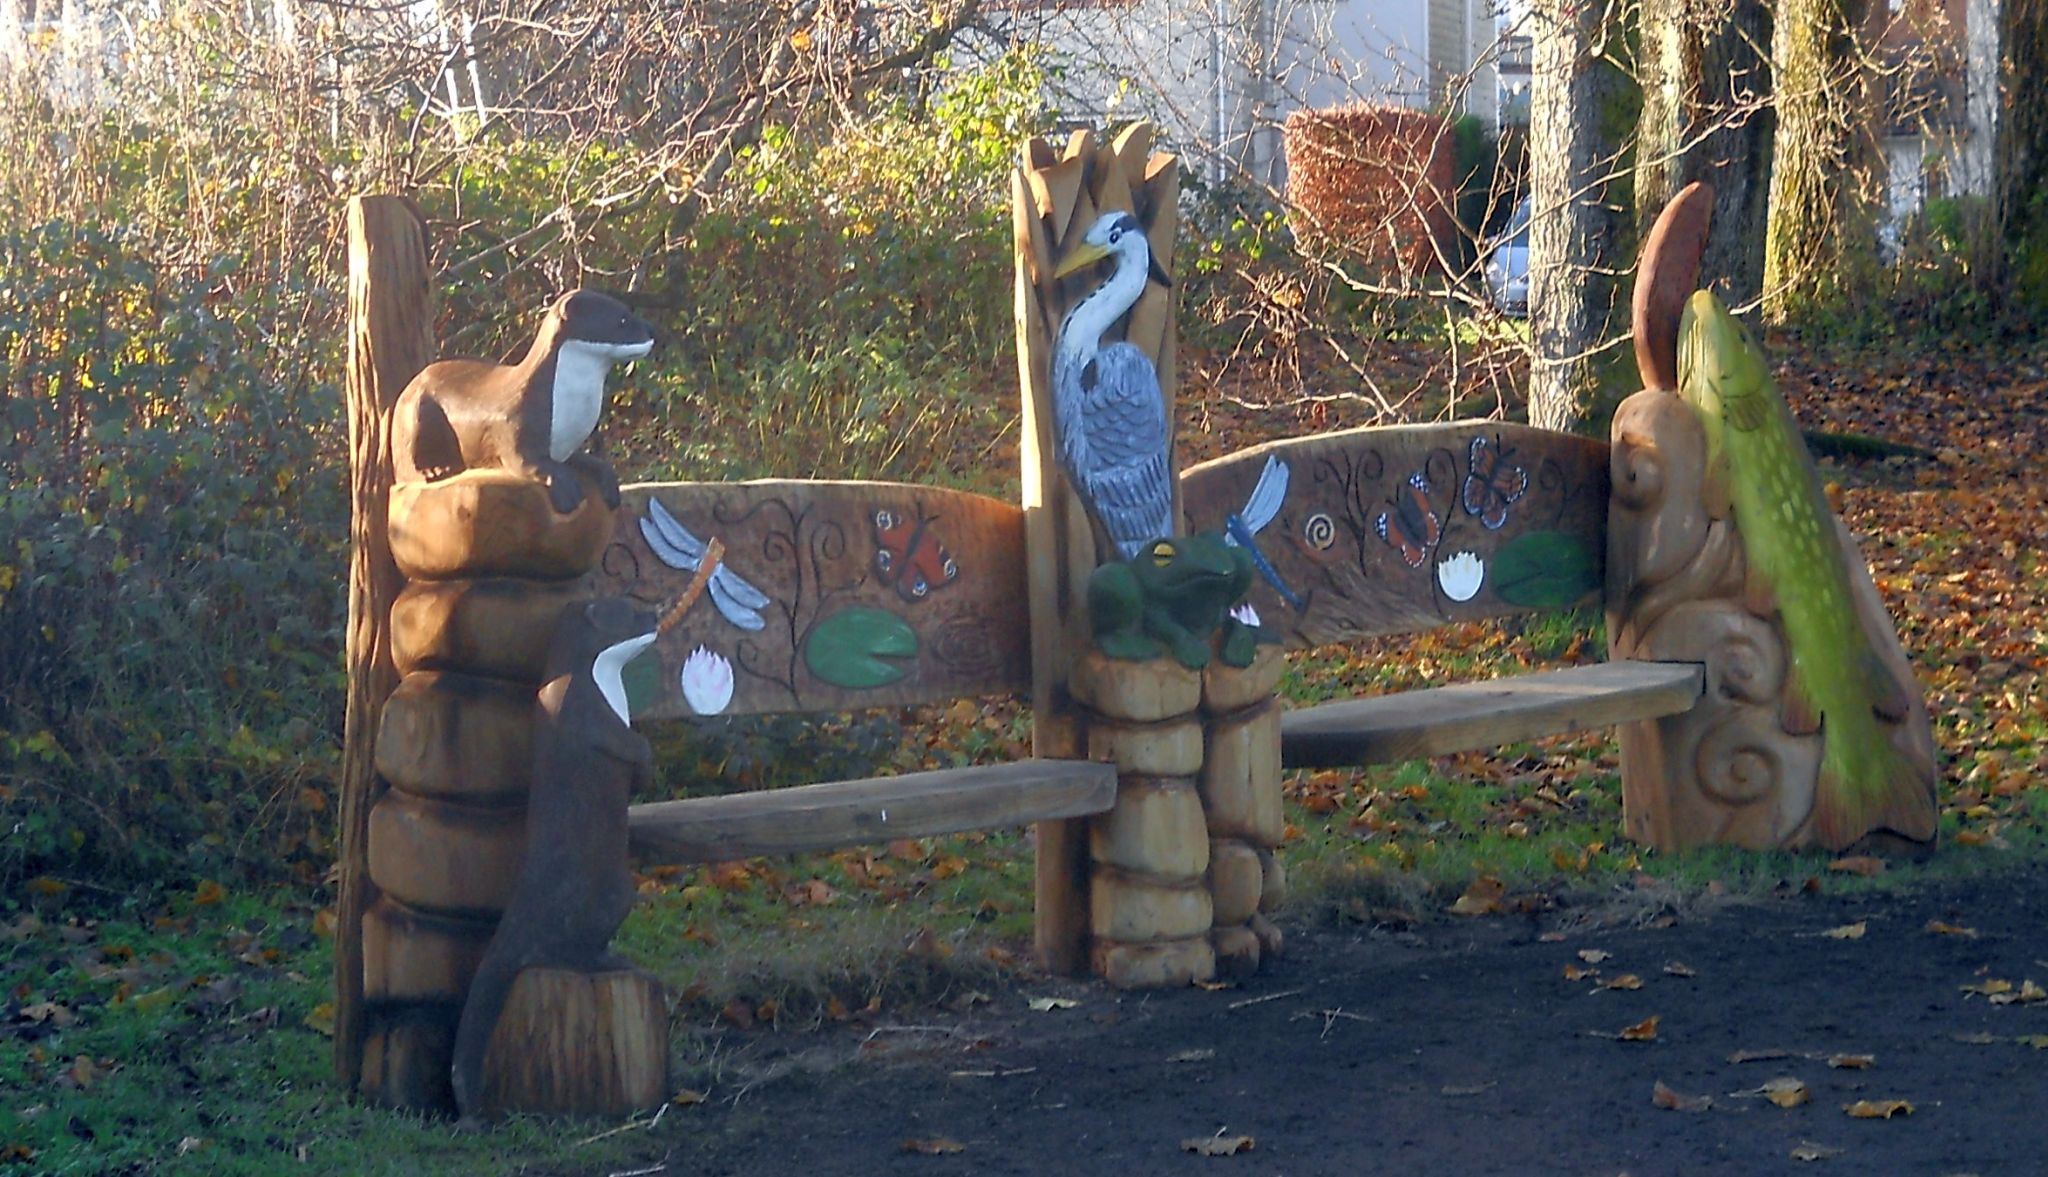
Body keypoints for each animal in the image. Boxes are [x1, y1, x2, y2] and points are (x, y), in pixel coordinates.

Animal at [391, 288, 655, 511]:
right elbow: (526, 462)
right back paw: (436, 470)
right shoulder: (516, 427)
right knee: (405, 465)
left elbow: (589, 461)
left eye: (629, 311)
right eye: (622, 319)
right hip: (414, 412)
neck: (568, 406)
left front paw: (609, 481)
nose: (650, 330)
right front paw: (566, 488)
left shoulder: (565, 443)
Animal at [452, 597, 659, 1121]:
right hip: (613, 894)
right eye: (628, 610)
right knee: (571, 951)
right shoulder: (589, 713)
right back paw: (615, 960)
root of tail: (522, 908)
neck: (599, 681)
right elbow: (630, 746)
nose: (655, 614)